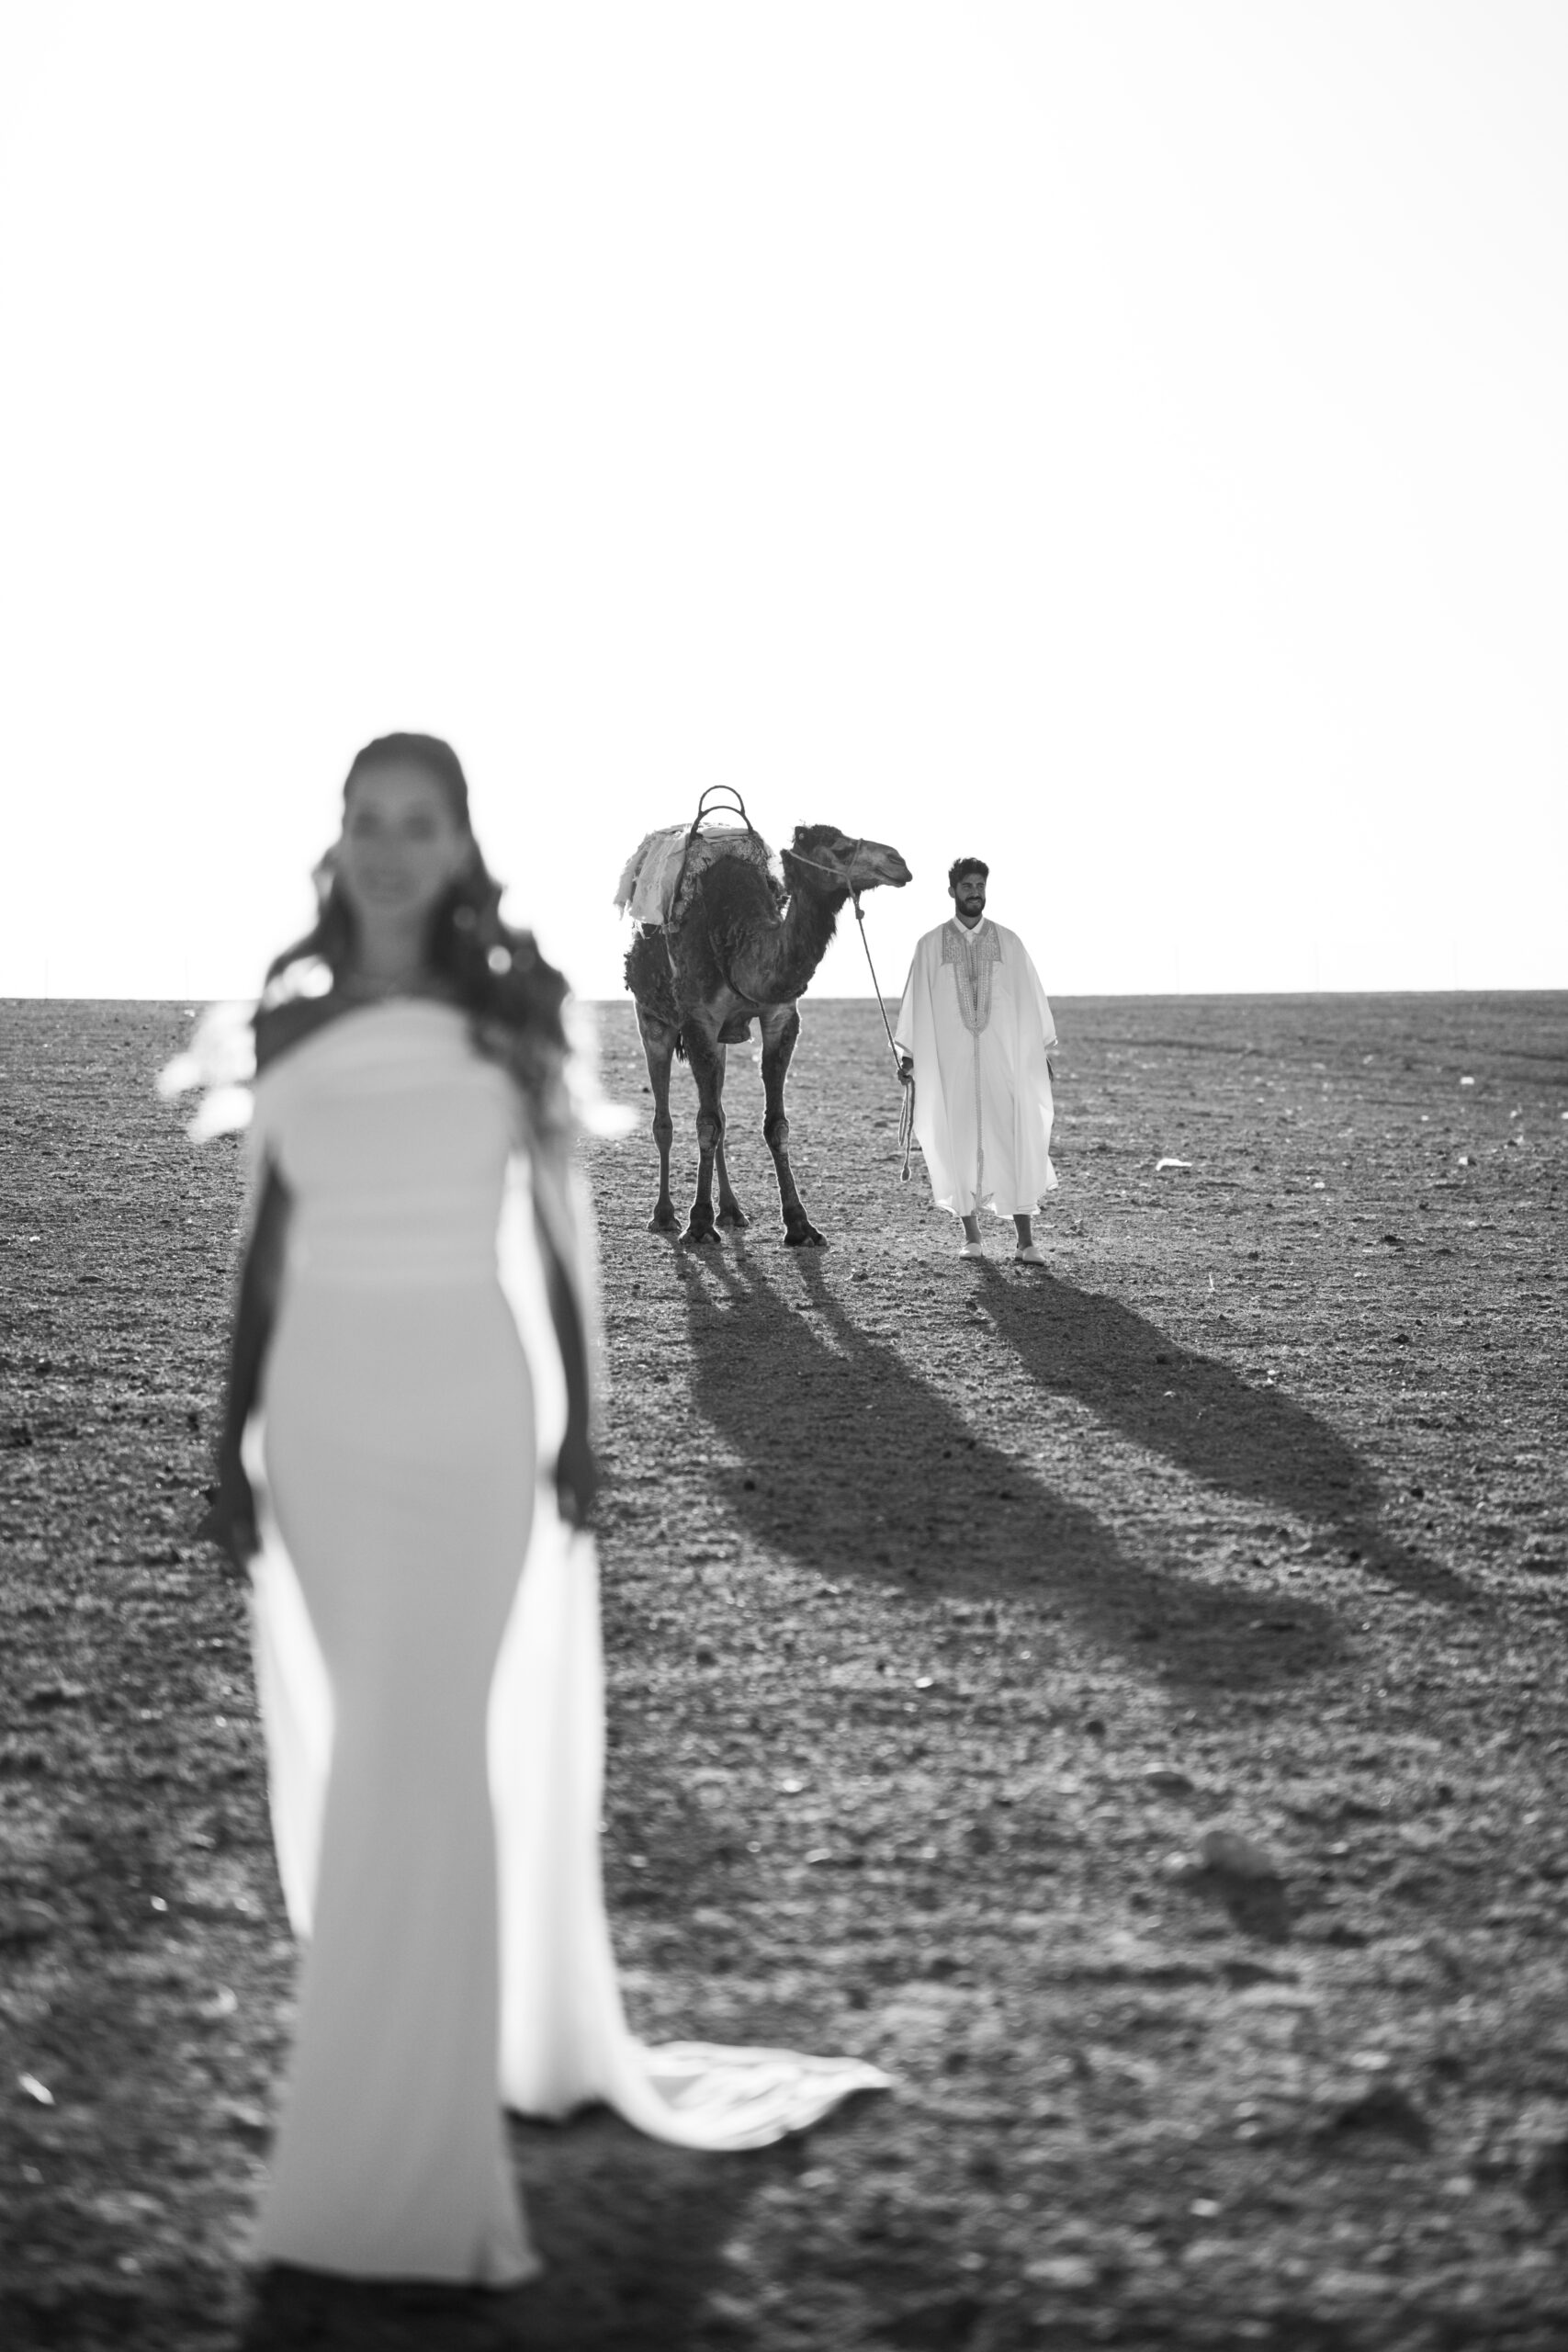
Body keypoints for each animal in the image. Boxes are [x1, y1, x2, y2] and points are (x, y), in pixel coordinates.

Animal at [623, 822, 912, 1246]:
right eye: (840, 849)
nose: (899, 861)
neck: (738, 940)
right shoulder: (698, 1020)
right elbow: (704, 1124)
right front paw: (698, 1224)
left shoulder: (780, 1017)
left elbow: (773, 1124)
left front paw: (800, 1224)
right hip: (652, 1020)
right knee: (665, 1121)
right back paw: (664, 1216)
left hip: (720, 1041)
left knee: (720, 1113)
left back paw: (732, 1211)